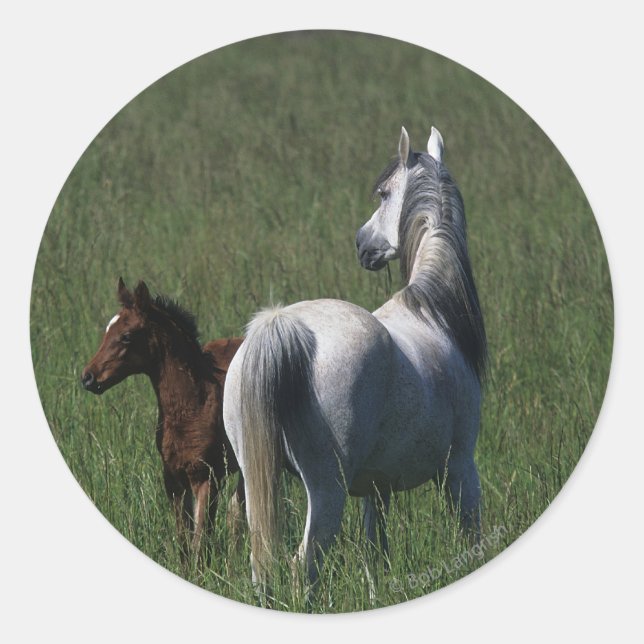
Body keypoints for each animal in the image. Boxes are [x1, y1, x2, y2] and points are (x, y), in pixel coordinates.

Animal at [82, 278, 245, 557]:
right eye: (106, 330)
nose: (88, 377)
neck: (193, 405)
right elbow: (184, 544)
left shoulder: (207, 478)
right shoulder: (174, 480)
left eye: (126, 336)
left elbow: (200, 543)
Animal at [222, 126, 487, 598]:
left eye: (383, 194)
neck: (432, 312)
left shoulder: (375, 490)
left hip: (257, 482)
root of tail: (282, 325)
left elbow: (374, 558)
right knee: (302, 568)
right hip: (327, 490)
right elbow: (471, 539)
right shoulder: (460, 470)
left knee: (262, 566)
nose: (362, 244)